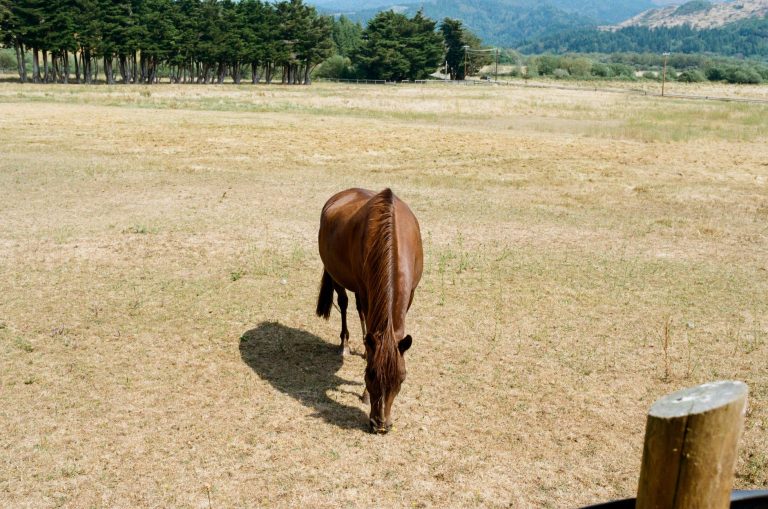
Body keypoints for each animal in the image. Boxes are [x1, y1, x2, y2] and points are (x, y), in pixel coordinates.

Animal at [316, 188, 423, 434]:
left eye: (401, 379)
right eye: (370, 374)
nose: (380, 425)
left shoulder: (410, 293)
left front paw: (368, 350)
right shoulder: (365, 290)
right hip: (338, 276)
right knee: (345, 304)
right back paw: (345, 344)